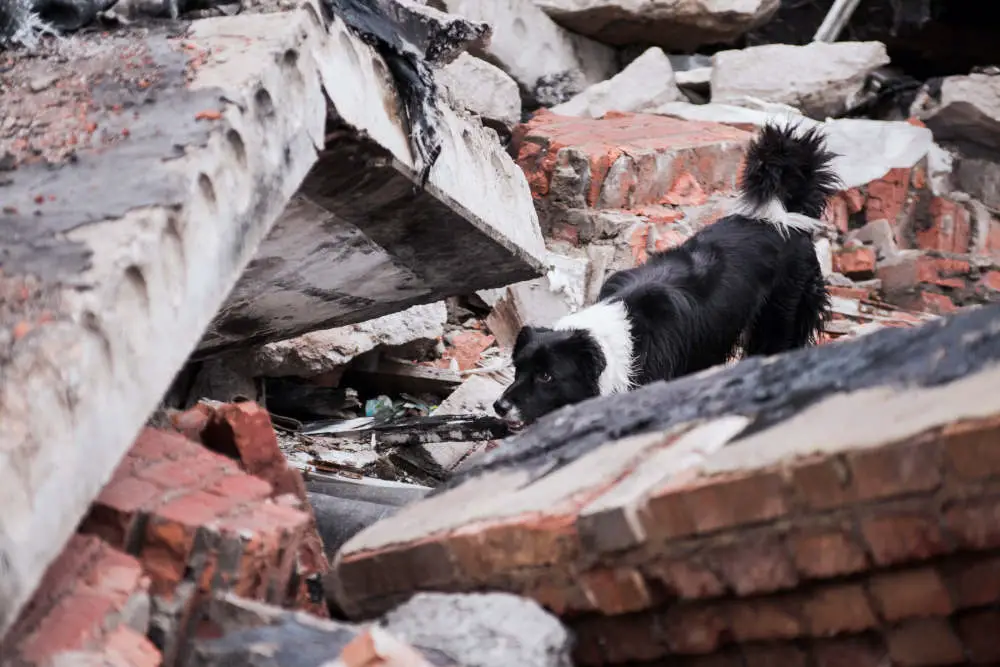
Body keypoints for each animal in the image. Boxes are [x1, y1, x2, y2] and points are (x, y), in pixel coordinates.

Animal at [496, 122, 840, 428]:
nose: (499, 406)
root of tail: (781, 219)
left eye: (546, 376)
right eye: (517, 368)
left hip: (780, 317)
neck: (615, 343)